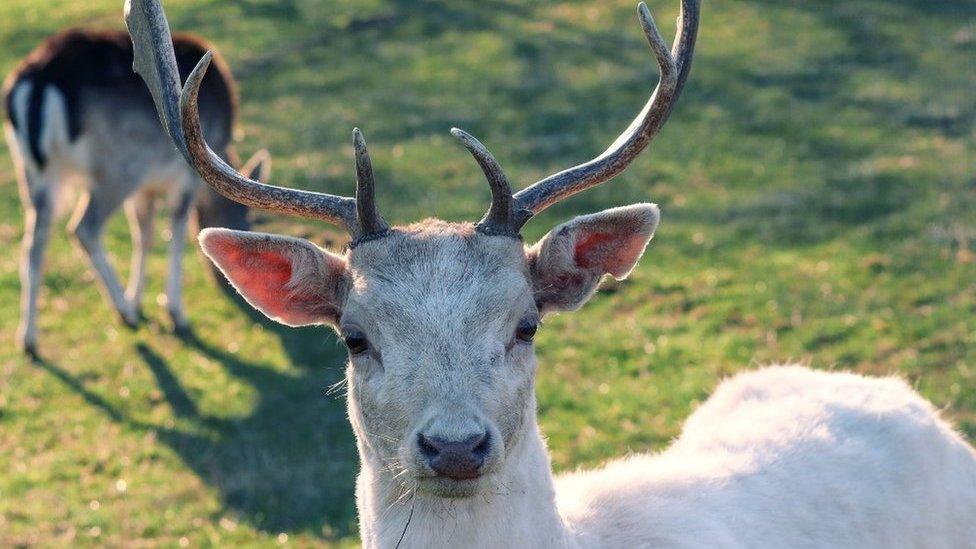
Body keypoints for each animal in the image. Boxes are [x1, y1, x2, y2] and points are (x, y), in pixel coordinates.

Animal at [1, 27, 268, 358]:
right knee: (83, 228)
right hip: (119, 168)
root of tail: (40, 80)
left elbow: (144, 234)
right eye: (250, 220)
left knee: (33, 245)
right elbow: (177, 233)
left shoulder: (145, 189)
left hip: (31, 171)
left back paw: (28, 339)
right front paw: (175, 313)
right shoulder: (184, 178)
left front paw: (139, 298)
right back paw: (124, 312)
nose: (225, 281)